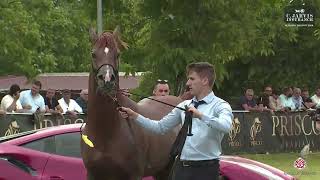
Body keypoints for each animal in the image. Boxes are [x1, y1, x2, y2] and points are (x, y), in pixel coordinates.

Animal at [80, 28, 182, 180]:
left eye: (118, 54)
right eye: (93, 54)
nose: (107, 80)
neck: (106, 133)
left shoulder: (133, 174)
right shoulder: (93, 174)